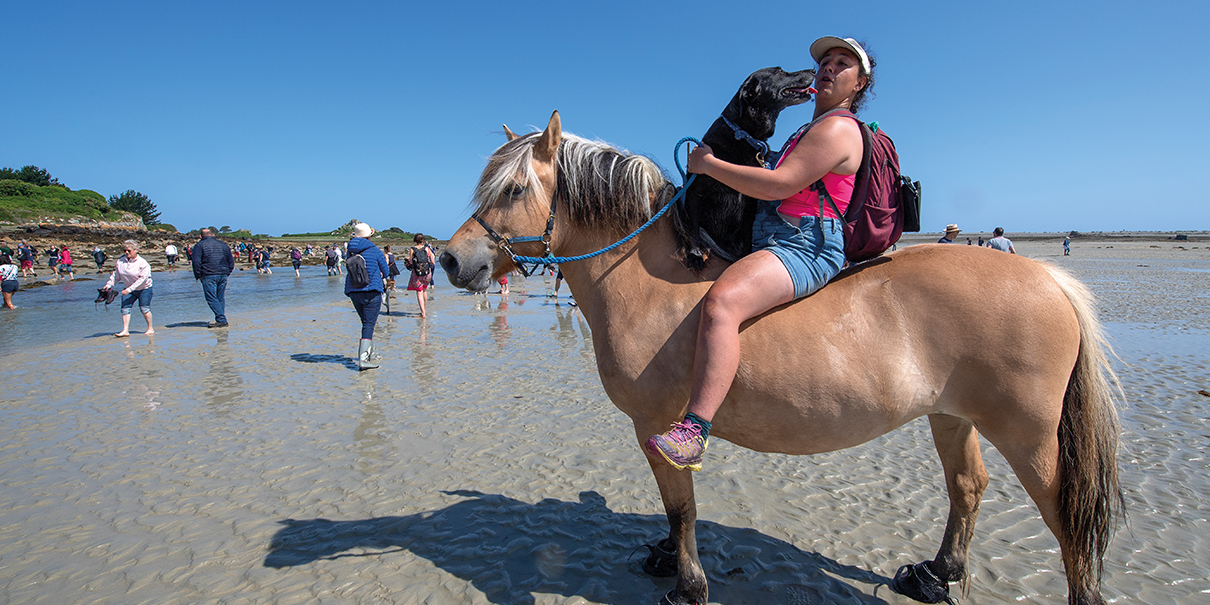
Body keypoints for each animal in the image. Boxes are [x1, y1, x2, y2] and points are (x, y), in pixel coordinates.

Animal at [445, 110, 1122, 605]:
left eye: (512, 189)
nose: (451, 259)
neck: (645, 281)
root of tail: (1047, 278)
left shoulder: (656, 426)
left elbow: (681, 509)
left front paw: (688, 585)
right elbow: (673, 513)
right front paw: (666, 560)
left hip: (1028, 436)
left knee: (1067, 523)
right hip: (952, 416)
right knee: (967, 487)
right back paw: (935, 575)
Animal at [677, 66, 817, 272]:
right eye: (779, 71)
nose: (813, 70)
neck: (744, 135)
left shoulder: (750, 204)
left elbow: (747, 236)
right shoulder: (695, 191)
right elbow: (692, 227)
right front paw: (695, 254)